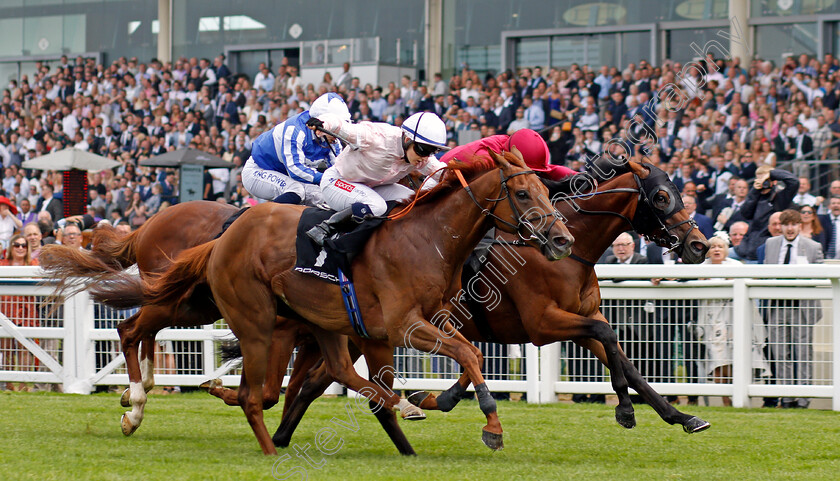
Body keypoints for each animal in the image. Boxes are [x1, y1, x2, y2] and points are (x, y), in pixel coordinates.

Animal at [136, 151, 572, 454]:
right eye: (522, 193)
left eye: (546, 191)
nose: (562, 239)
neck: (429, 240)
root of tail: (224, 237)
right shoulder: (402, 326)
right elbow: (466, 354)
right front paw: (490, 427)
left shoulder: (433, 319)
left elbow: (472, 353)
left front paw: (439, 402)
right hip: (256, 321)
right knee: (251, 390)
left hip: (322, 321)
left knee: (335, 372)